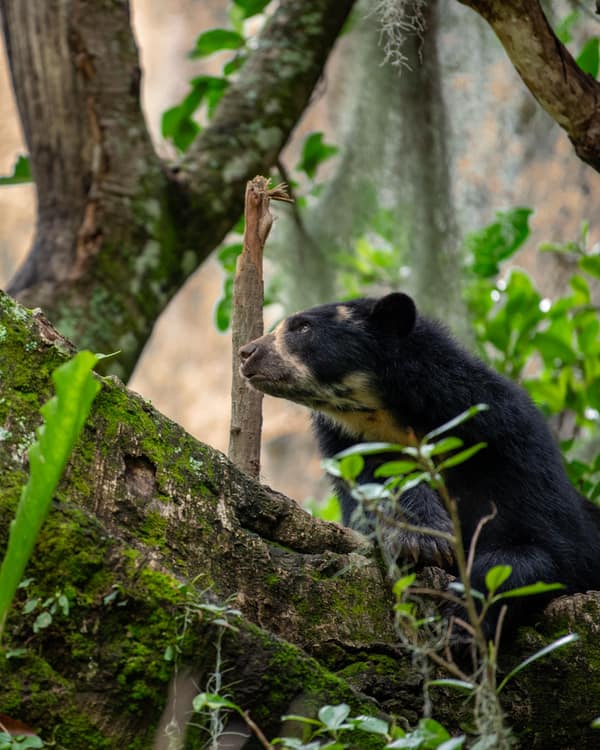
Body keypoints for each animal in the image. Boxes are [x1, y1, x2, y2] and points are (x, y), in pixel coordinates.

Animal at [239, 292, 600, 637]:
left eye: (302, 327)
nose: (246, 352)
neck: (394, 418)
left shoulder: (512, 449)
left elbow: (546, 550)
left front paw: (458, 622)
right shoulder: (351, 452)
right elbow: (381, 491)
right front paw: (427, 543)